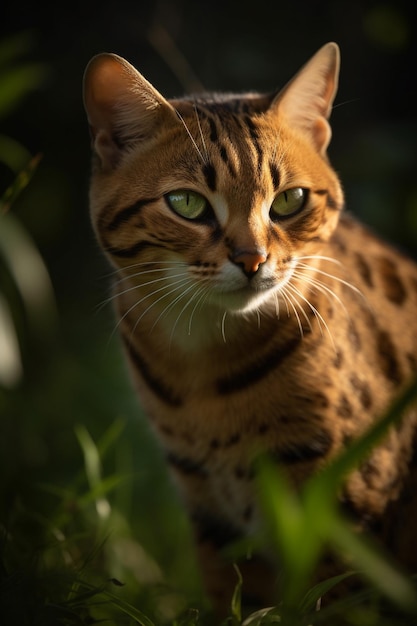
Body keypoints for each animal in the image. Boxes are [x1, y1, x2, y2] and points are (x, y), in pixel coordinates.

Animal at [83, 45, 416, 616]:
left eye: (289, 200)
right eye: (187, 203)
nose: (252, 259)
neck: (204, 362)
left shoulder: (342, 515)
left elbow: (334, 601)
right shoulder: (213, 512)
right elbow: (235, 598)